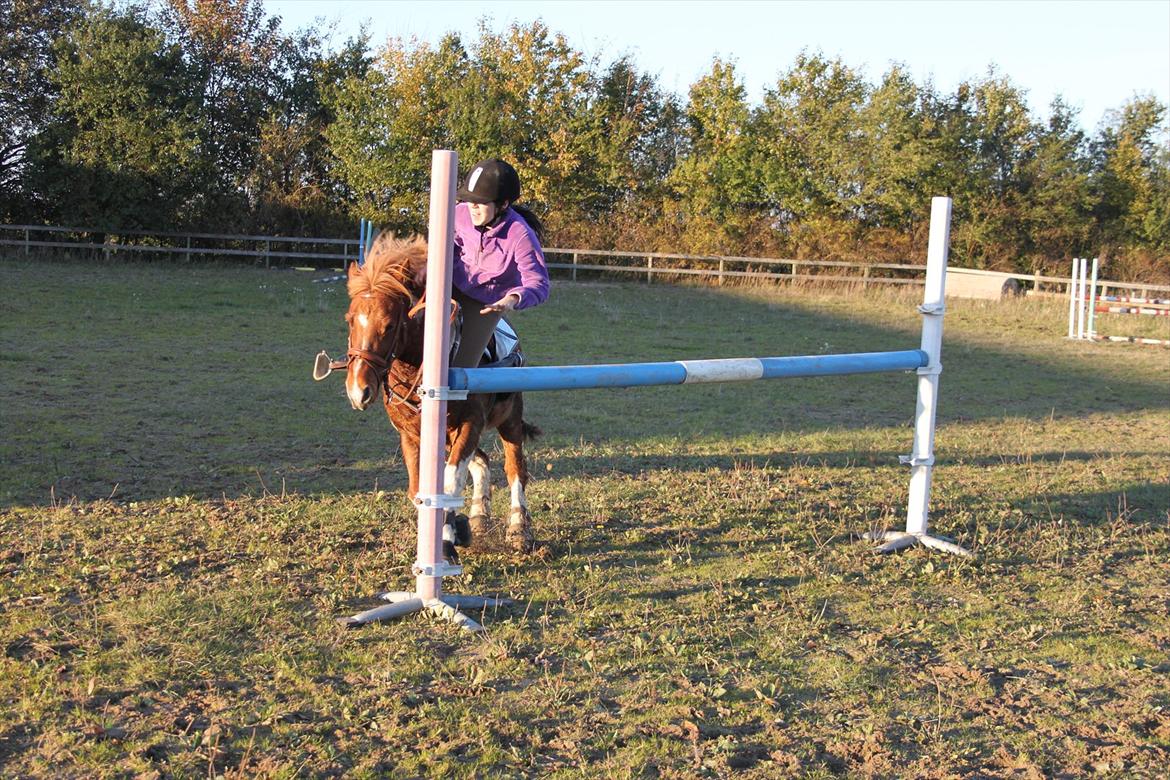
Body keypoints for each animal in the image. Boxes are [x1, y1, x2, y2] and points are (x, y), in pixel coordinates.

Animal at [341, 233, 540, 555]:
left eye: (390, 325)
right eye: (349, 319)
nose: (359, 390)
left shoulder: (470, 424)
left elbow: (449, 481)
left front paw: (447, 537)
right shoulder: (411, 435)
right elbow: (420, 490)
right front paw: (455, 527)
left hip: (509, 419)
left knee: (515, 469)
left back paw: (518, 527)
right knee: (482, 461)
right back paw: (478, 517)